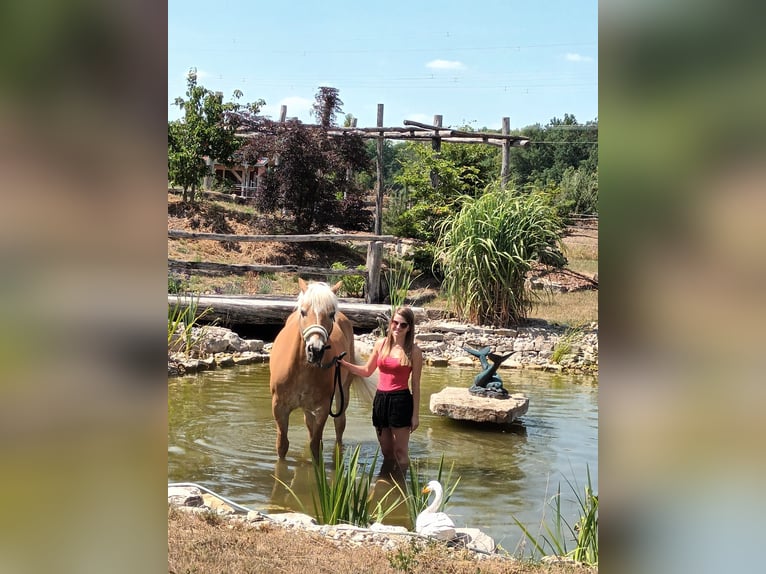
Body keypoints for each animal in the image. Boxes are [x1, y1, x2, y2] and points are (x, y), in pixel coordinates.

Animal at [270, 276, 356, 462]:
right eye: (303, 312)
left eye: (331, 314)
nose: (315, 350)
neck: (302, 369)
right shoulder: (279, 407)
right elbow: (282, 446)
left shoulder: (322, 408)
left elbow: (315, 446)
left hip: (343, 391)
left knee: (339, 425)